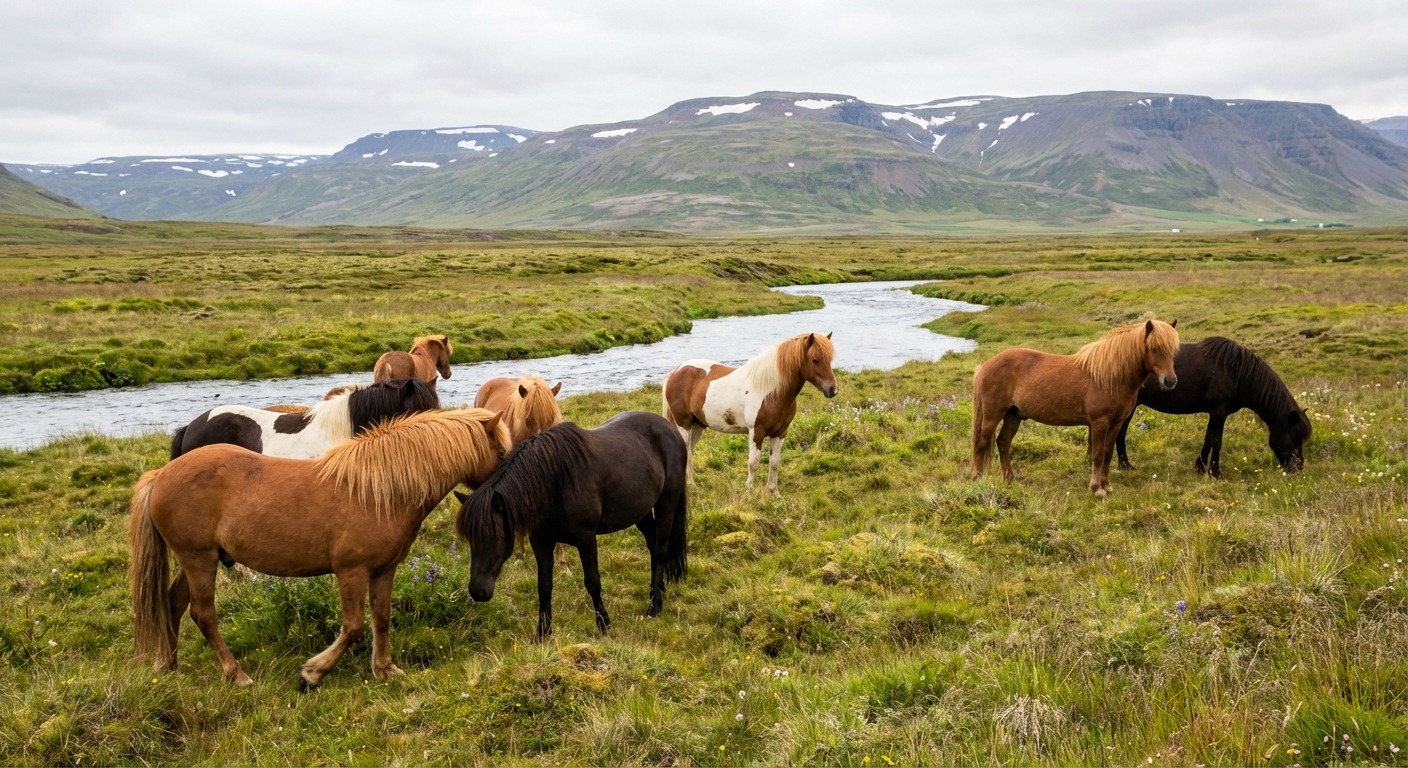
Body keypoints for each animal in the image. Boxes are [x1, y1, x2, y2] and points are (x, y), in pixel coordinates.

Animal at [130, 408, 510, 688]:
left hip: (195, 560)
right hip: (199, 560)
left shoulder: (384, 570)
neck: (378, 491)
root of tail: (162, 474)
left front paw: (385, 669)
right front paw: (312, 674)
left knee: (173, 603)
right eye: (502, 452)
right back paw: (236, 674)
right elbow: (354, 627)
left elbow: (382, 618)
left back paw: (169, 664)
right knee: (203, 614)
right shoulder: (351, 571)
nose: (502, 498)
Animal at [458, 412, 687, 640]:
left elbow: (593, 582)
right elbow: (544, 586)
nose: (477, 591)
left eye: (493, 537)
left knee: (660, 550)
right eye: (470, 540)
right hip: (640, 510)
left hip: (666, 503)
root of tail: (669, 427)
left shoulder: (586, 540)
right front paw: (542, 633)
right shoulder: (541, 543)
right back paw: (656, 591)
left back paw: (654, 607)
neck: (555, 483)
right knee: (652, 544)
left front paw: (604, 625)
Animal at [662, 332, 837, 496]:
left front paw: (774, 492)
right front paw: (750, 490)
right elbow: (753, 463)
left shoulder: (780, 433)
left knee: (689, 453)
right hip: (683, 424)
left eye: (829, 360)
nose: (832, 390)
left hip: (697, 426)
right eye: (815, 360)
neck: (770, 391)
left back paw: (692, 485)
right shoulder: (756, 432)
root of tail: (675, 372)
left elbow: (775, 463)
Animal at [971, 319, 1180, 496]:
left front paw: (1106, 485)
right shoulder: (1099, 423)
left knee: (1003, 443)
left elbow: (1107, 454)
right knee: (981, 443)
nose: (1169, 381)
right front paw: (1096, 489)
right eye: (1154, 348)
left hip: (1013, 415)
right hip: (992, 415)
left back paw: (1009, 480)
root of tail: (985, 365)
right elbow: (1097, 455)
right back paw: (977, 480)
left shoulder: (1116, 423)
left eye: (1172, 350)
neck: (1109, 377)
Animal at [1115, 336, 1312, 477]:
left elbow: (1208, 439)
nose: (1298, 468)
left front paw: (1200, 467)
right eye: (1296, 438)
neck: (1237, 373)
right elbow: (1217, 442)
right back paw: (1125, 465)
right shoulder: (1219, 411)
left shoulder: (1215, 414)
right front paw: (1215, 472)